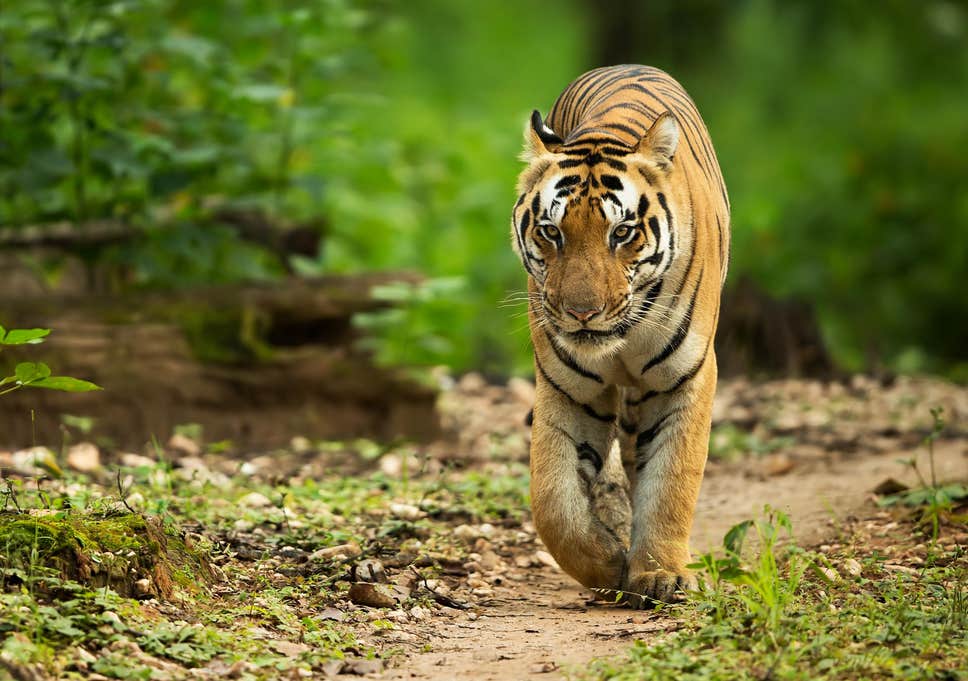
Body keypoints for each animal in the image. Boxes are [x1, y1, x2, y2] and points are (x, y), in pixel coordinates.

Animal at [510, 65, 728, 604]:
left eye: (622, 233)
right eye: (552, 231)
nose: (581, 313)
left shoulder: (685, 379)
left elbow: (672, 480)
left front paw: (660, 574)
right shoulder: (568, 387)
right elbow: (553, 500)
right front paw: (608, 564)